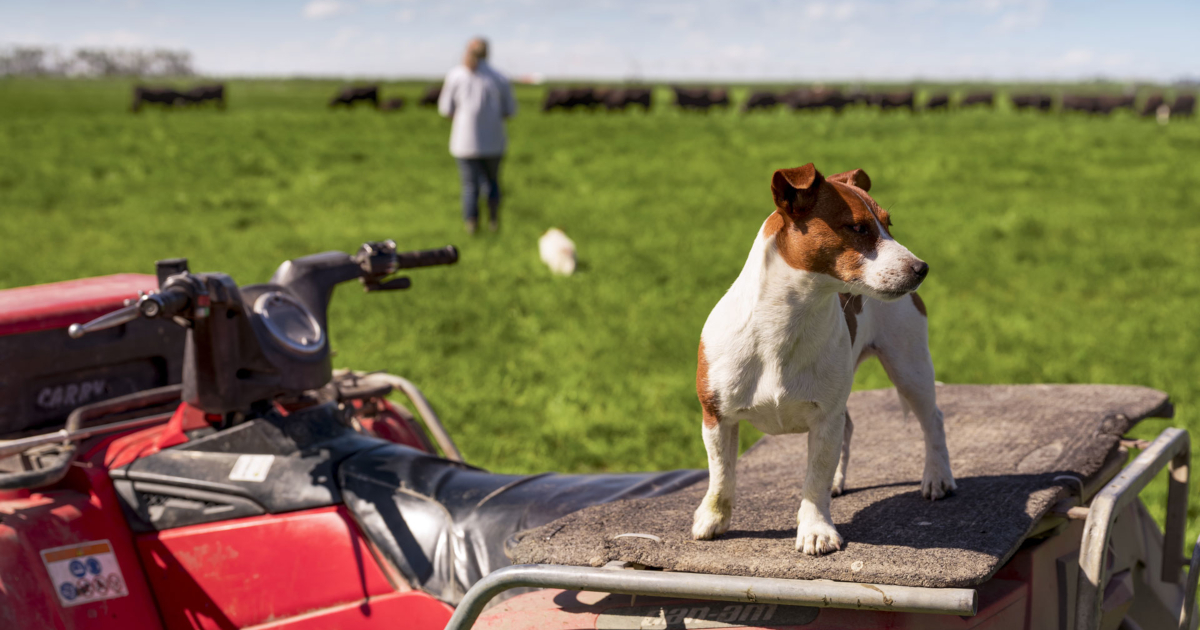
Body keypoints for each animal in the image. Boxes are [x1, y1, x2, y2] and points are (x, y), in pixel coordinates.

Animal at [696, 163, 955, 554]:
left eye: (889, 225)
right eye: (859, 228)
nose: (922, 268)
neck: (786, 322)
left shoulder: (824, 418)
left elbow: (814, 479)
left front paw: (816, 529)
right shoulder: (716, 416)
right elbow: (721, 475)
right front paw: (712, 519)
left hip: (909, 365)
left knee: (932, 419)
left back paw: (938, 476)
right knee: (849, 428)